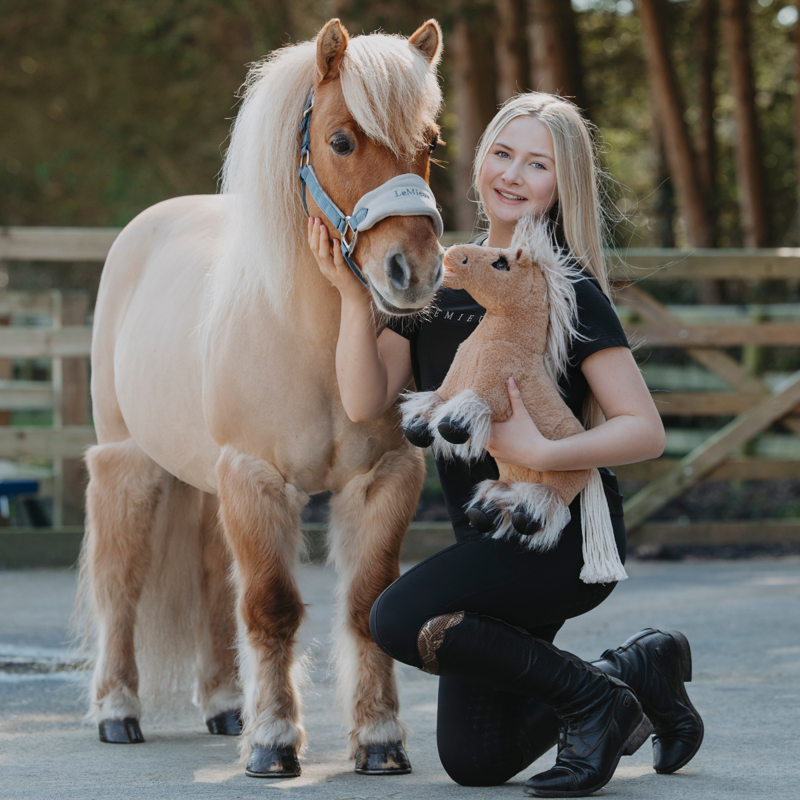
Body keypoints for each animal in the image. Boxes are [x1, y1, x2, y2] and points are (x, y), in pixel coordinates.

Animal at [78, 18, 444, 778]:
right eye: (341, 140)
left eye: (431, 141)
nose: (415, 272)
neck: (313, 340)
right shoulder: (256, 476)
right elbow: (273, 606)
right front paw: (274, 743)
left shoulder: (385, 476)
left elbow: (365, 601)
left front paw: (380, 739)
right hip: (130, 463)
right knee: (120, 583)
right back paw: (117, 712)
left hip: (206, 483)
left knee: (214, 584)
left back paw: (225, 706)